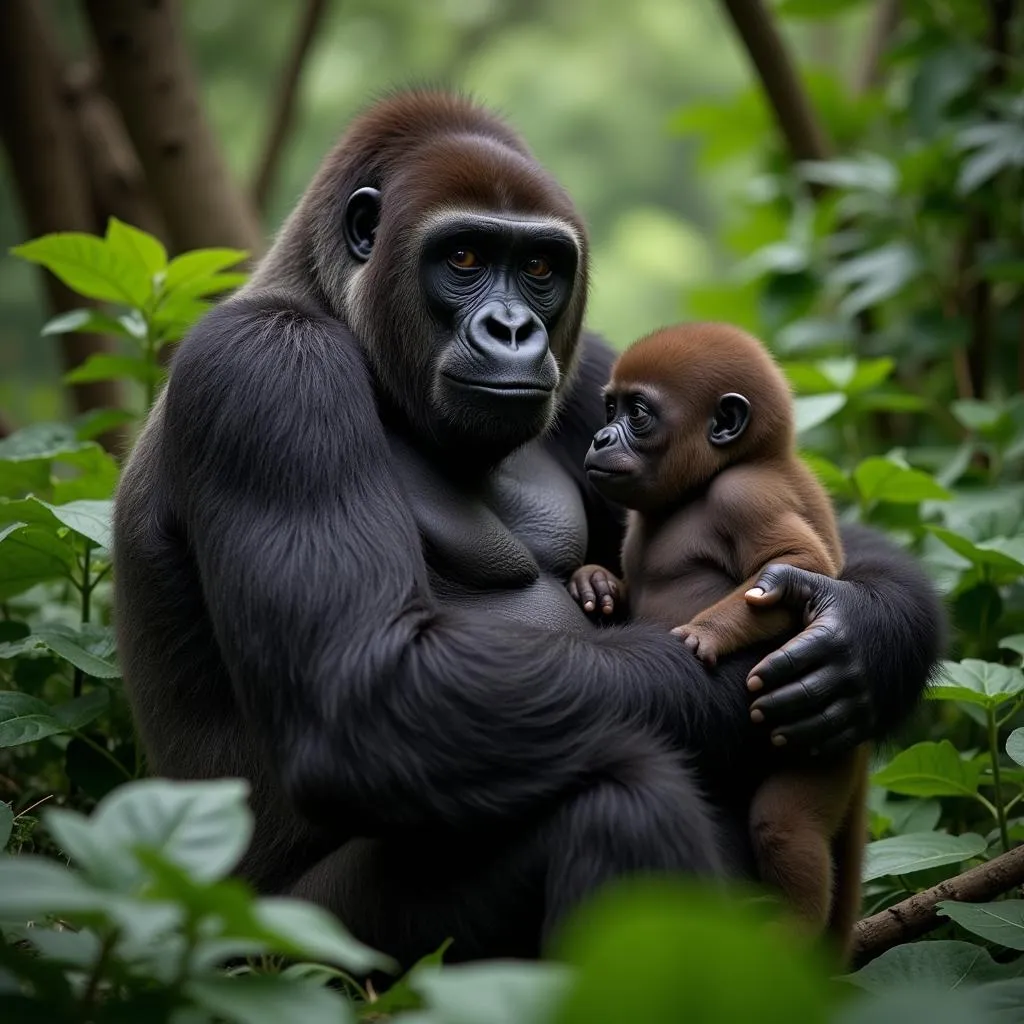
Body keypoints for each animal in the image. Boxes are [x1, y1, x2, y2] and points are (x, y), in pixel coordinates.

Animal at [573, 323, 868, 954]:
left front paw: (706, 633)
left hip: (825, 748)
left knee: (784, 825)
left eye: (638, 413)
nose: (600, 436)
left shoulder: (743, 491)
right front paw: (597, 581)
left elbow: (798, 566)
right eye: (609, 408)